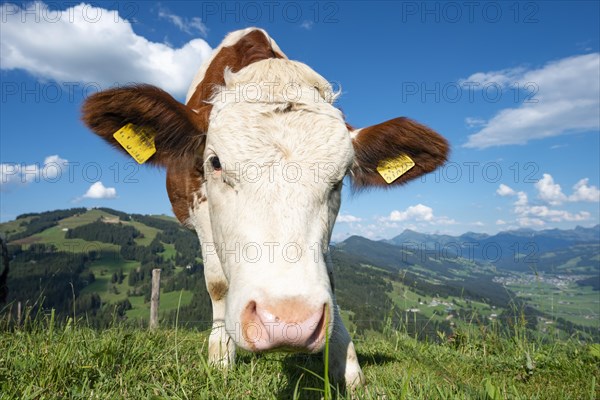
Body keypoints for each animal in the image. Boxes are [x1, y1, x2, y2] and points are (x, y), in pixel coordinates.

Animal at [81, 27, 446, 388]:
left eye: (341, 176)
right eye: (215, 162)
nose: (290, 322)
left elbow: (329, 278)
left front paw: (346, 362)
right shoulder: (200, 212)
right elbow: (217, 283)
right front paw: (221, 356)